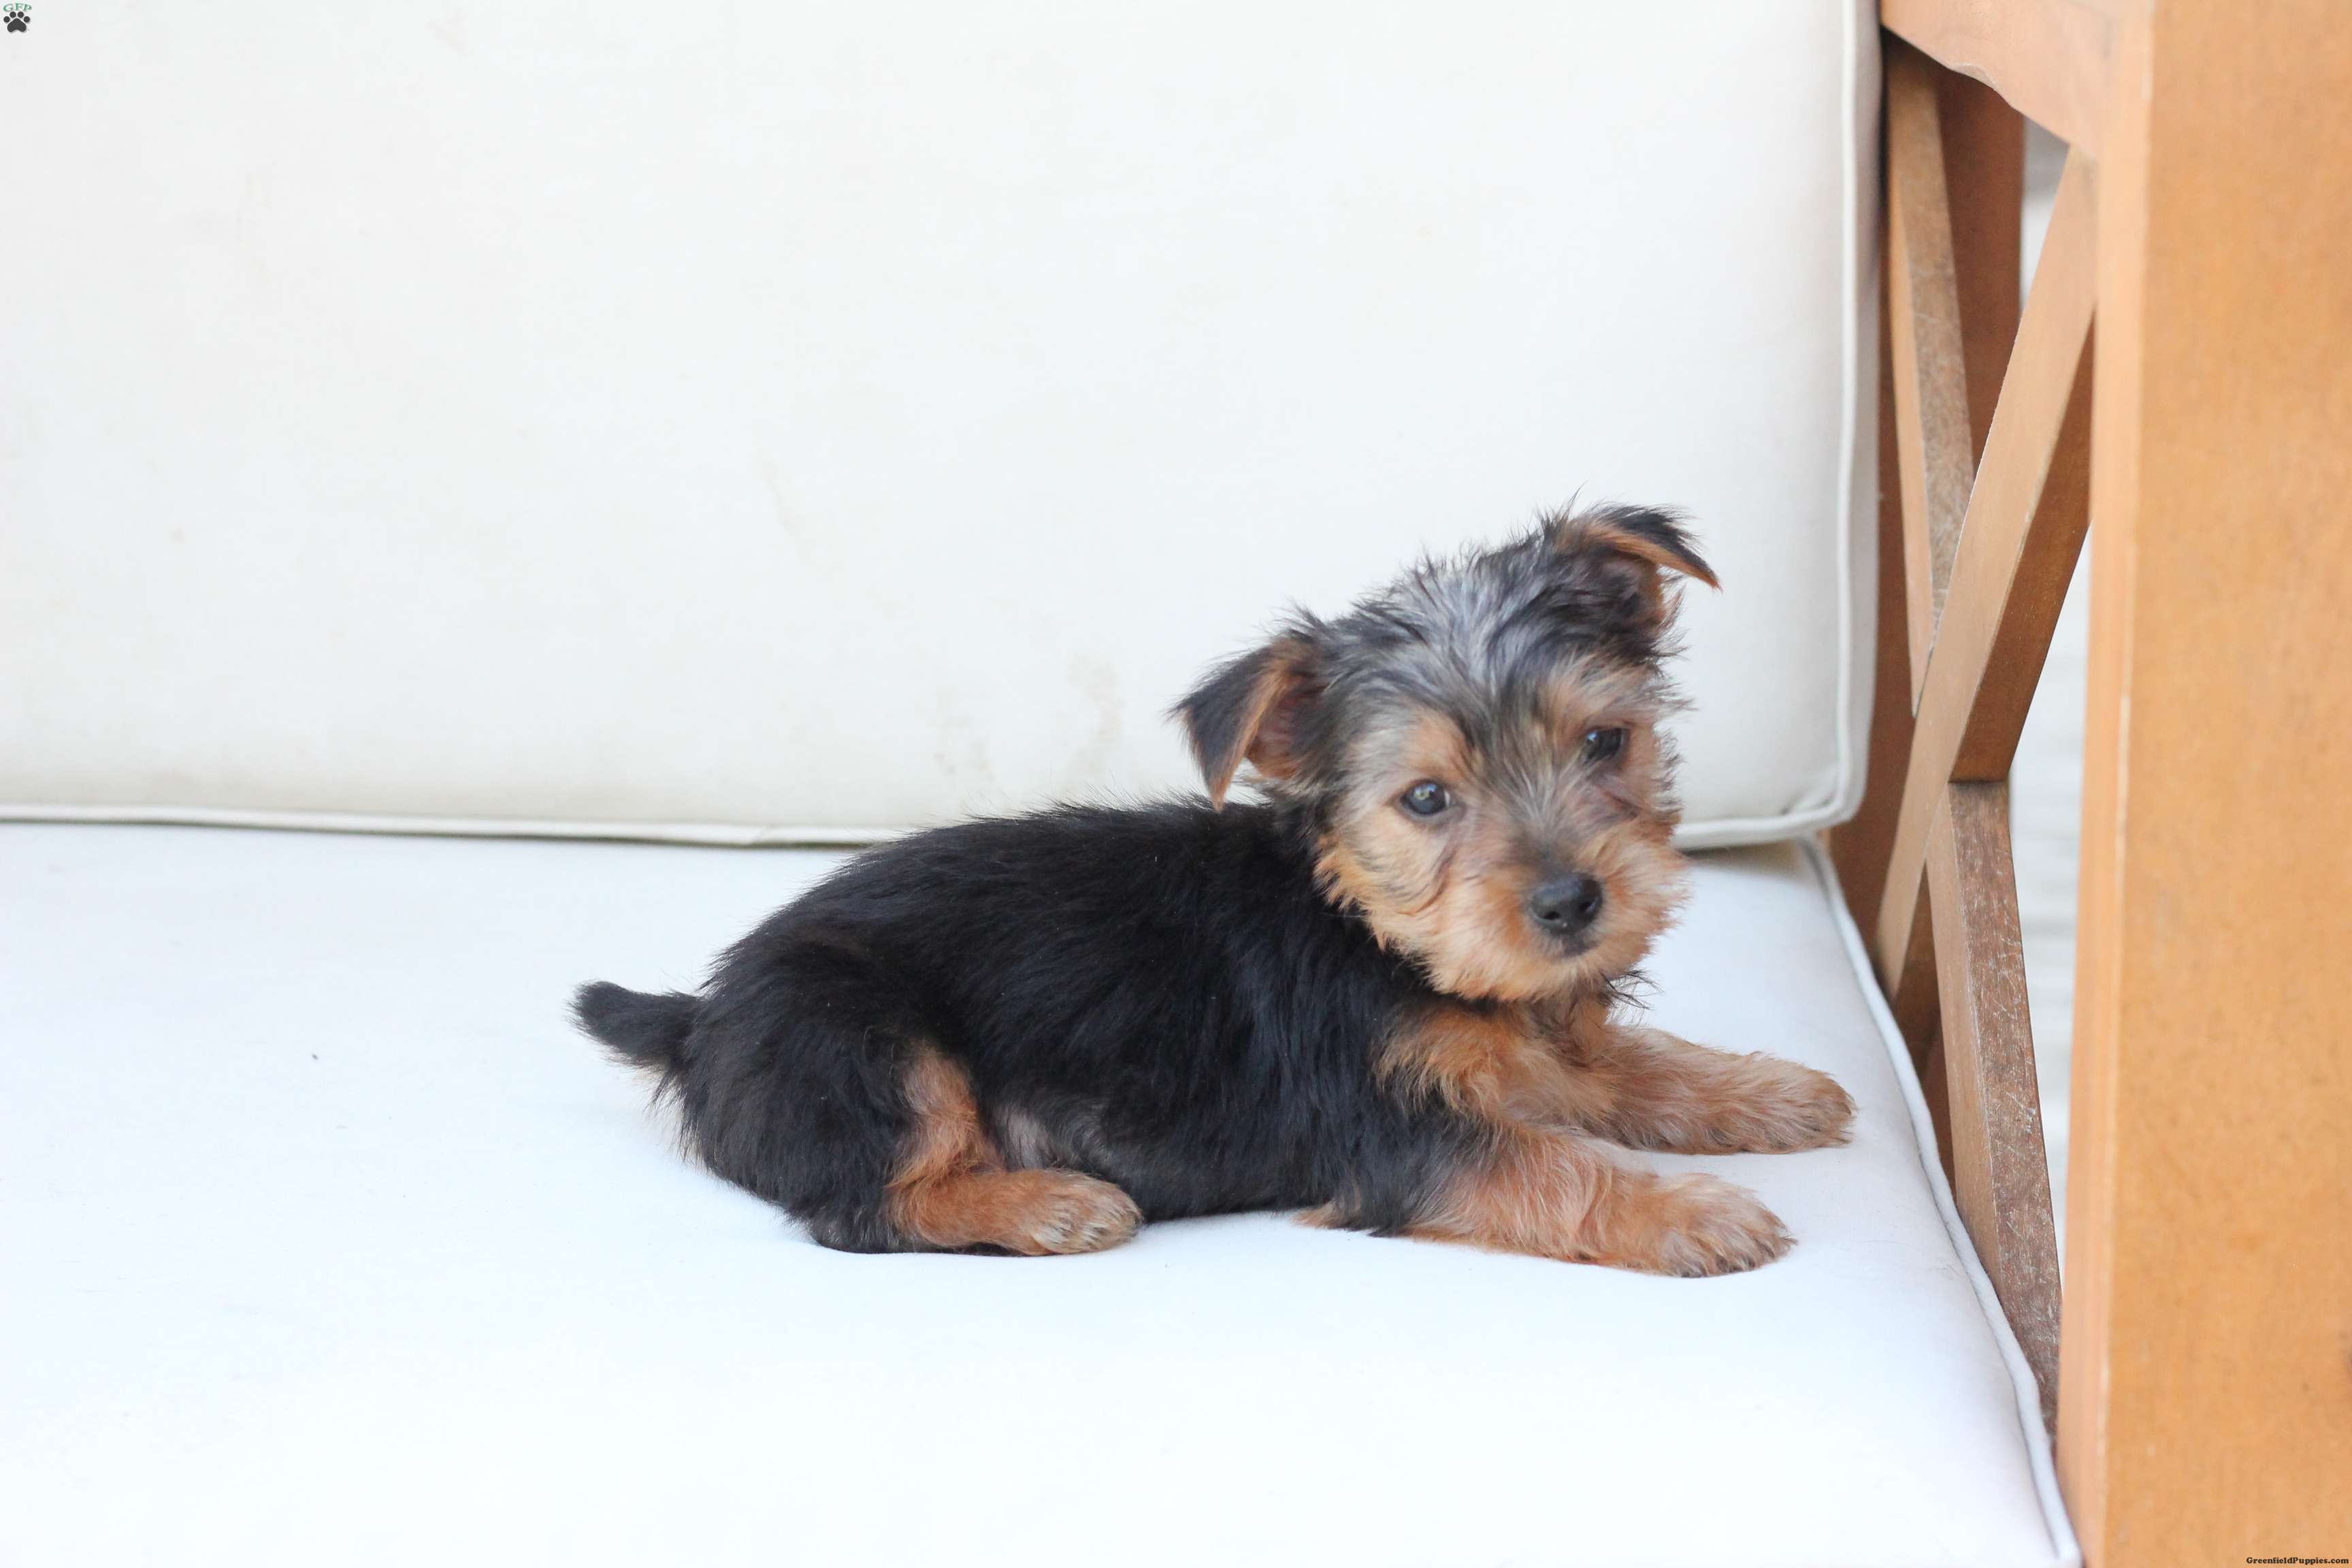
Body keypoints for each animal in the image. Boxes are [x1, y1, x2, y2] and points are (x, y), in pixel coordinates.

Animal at [576, 506, 1854, 1274]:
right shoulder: (1393, 1133)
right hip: (861, 1036)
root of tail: (698, 1020)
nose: (1571, 904)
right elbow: (1554, 1163)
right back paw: (1047, 1203)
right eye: (1426, 799)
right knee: (858, 1207)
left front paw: (1775, 1092)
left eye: (1603, 743)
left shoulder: (1541, 1040)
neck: (1376, 929)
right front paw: (1693, 1210)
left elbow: (1626, 1066)